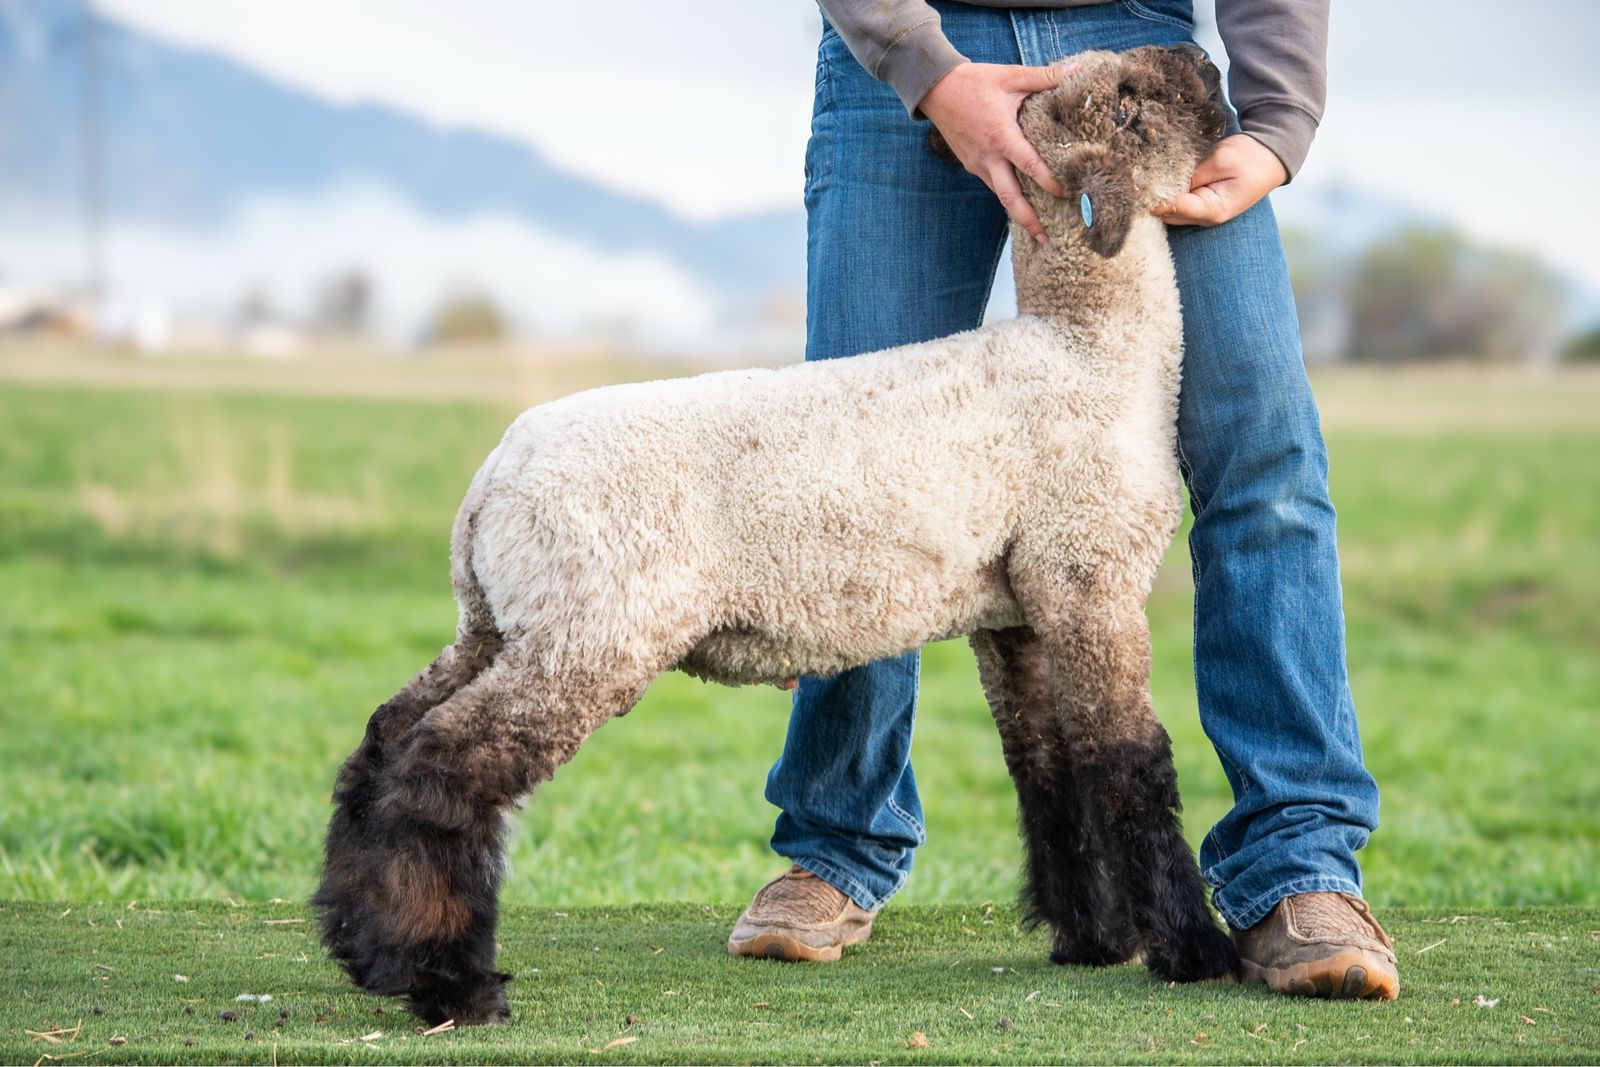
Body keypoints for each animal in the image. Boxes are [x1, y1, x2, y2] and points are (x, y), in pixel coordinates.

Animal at [314, 44, 1238, 1026]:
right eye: (1129, 100)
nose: (1200, 56)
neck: (1093, 348)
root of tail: (490, 484)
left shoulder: (1019, 607)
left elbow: (1047, 766)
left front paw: (1090, 939)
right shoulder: (1090, 574)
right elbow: (1131, 762)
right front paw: (1192, 948)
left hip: (503, 622)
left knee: (383, 738)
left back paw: (366, 946)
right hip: (591, 630)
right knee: (441, 763)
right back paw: (453, 981)